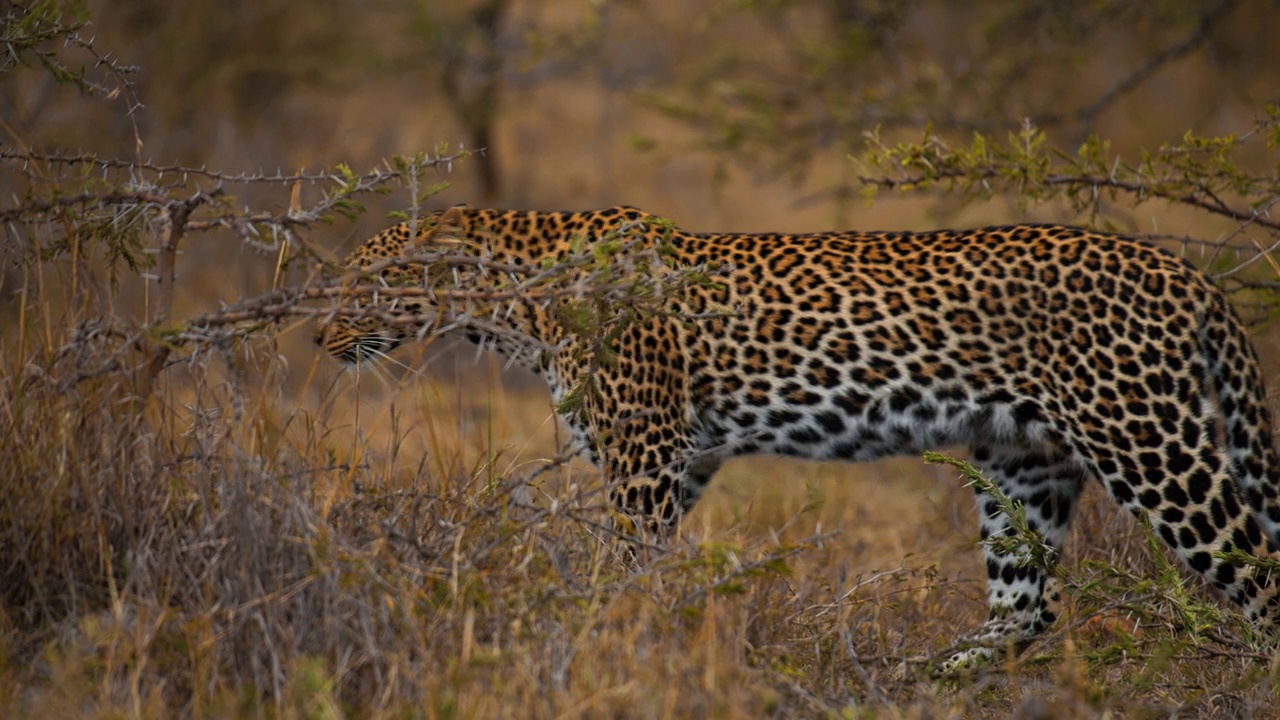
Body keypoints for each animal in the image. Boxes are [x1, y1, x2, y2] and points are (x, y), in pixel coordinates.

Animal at [314, 204, 1280, 666]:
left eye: (367, 285)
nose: (317, 340)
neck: (513, 307)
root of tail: (1186, 272)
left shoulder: (644, 460)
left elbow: (618, 575)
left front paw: (598, 641)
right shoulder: (685, 461)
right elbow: (641, 572)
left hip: (1152, 444)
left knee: (1260, 573)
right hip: (1022, 462)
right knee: (1024, 608)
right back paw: (919, 678)